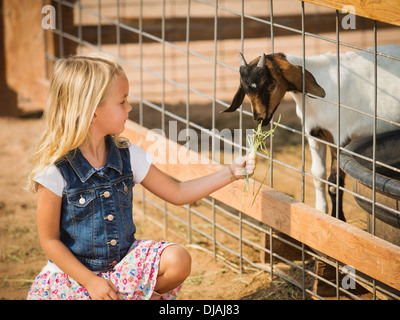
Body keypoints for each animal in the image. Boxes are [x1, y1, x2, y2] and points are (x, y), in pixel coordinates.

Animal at [223, 44, 400, 220]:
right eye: (246, 90)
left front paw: (337, 218)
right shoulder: (314, 135)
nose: (259, 118)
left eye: (271, 86)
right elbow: (318, 175)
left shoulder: (339, 138)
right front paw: (320, 211)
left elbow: (334, 182)